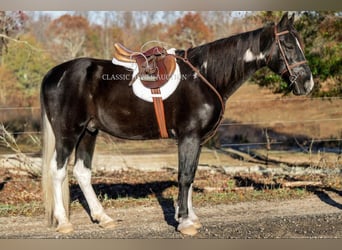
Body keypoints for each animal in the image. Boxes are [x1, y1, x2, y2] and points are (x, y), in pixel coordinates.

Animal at [40, 13, 312, 236]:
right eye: (288, 45)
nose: (307, 83)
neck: (203, 76)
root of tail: (55, 73)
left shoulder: (197, 139)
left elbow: (191, 175)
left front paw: (191, 216)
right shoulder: (188, 136)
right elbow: (185, 176)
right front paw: (185, 222)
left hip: (89, 131)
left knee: (82, 172)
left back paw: (103, 218)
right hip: (69, 133)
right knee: (58, 170)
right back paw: (64, 222)